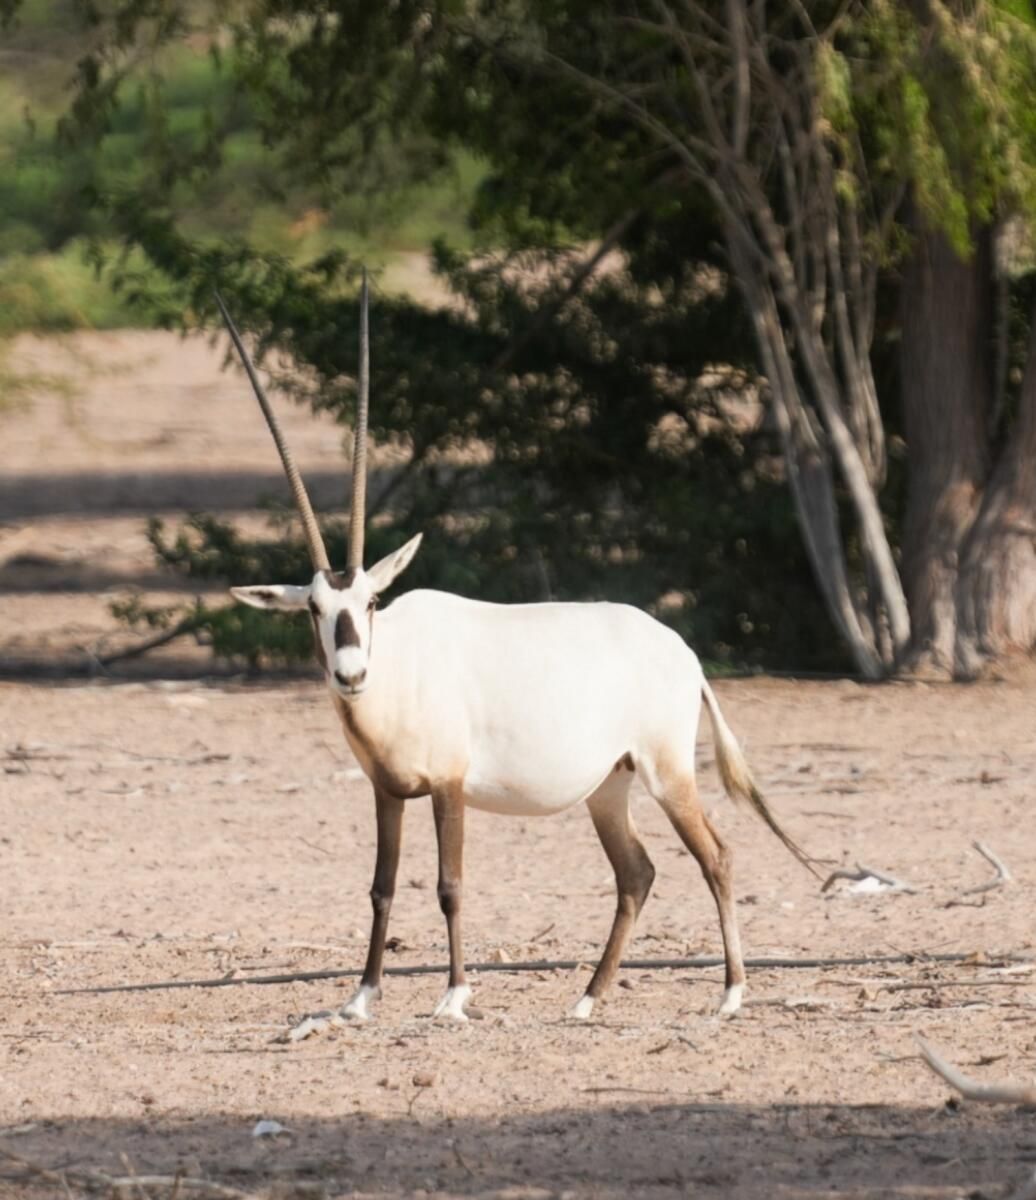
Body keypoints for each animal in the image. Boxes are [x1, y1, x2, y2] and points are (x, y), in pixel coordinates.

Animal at [216, 279, 816, 1028]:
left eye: (373, 603)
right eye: (314, 611)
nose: (351, 674)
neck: (400, 670)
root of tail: (683, 653)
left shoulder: (448, 785)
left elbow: (449, 883)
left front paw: (453, 996)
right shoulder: (388, 791)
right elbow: (382, 886)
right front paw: (360, 998)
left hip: (666, 771)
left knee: (717, 855)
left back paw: (730, 994)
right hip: (609, 786)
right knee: (637, 871)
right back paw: (587, 999)